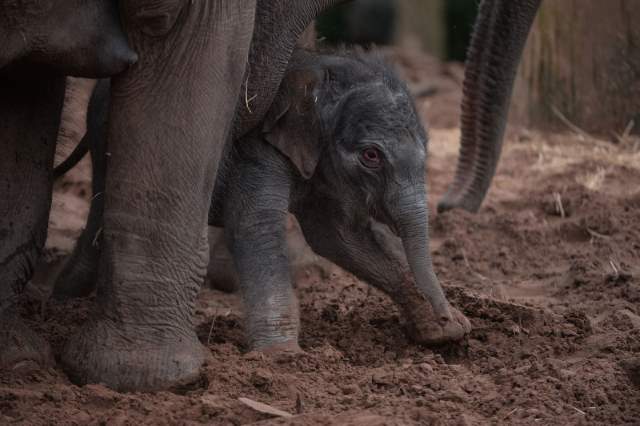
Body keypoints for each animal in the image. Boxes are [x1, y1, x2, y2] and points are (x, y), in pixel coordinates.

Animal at [57, 49, 472, 350]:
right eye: (371, 156)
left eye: (426, 152)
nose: (451, 317)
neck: (320, 71)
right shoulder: (256, 147)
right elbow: (255, 224)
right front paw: (281, 355)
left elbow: (339, 238)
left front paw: (444, 334)